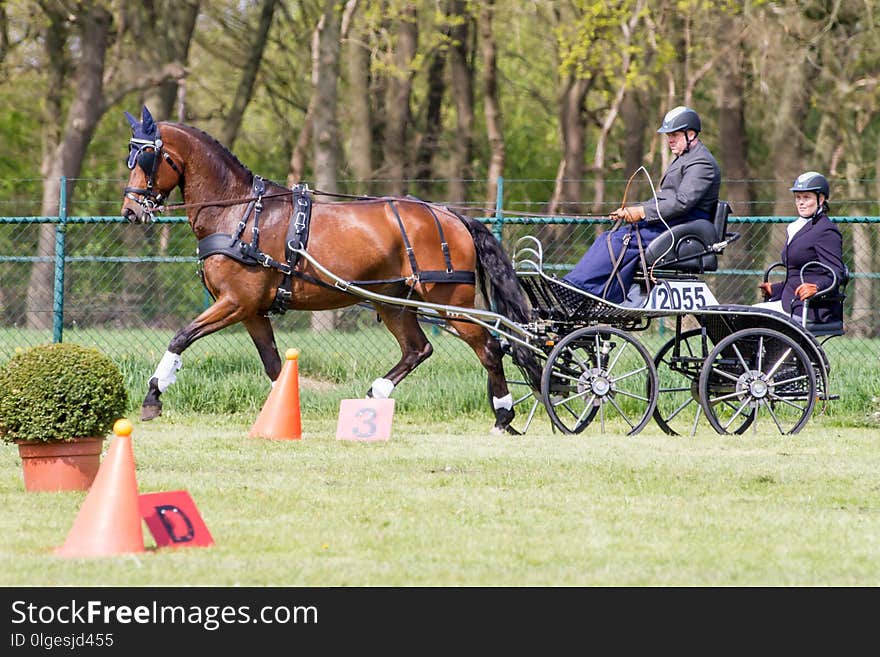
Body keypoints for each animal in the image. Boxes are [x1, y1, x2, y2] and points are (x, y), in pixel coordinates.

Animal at [120, 105, 540, 434]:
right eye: (130, 155)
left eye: (146, 157)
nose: (130, 211)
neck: (240, 212)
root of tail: (451, 215)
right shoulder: (253, 311)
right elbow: (275, 367)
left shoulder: (235, 302)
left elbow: (180, 337)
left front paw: (153, 396)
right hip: (392, 302)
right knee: (418, 349)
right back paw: (375, 396)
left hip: (449, 301)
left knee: (488, 347)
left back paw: (503, 416)